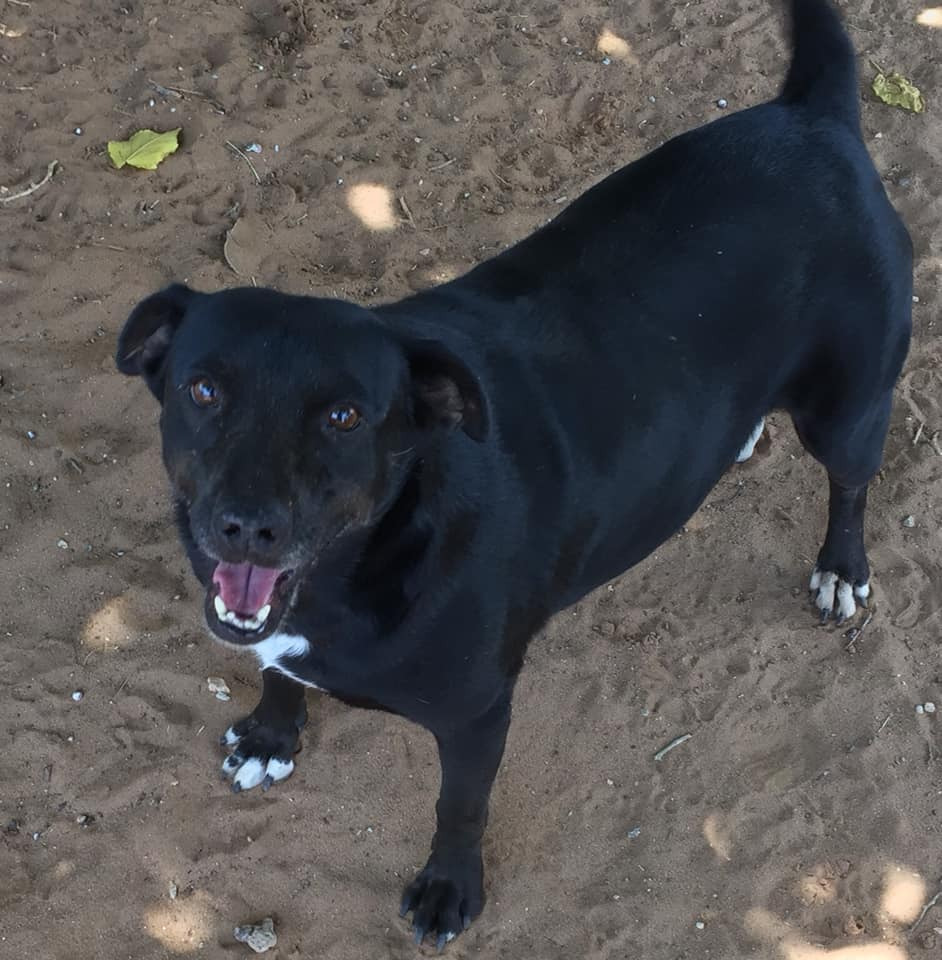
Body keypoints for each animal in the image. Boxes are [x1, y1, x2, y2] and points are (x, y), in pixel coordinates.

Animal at [112, 0, 916, 944]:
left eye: (346, 416)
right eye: (202, 389)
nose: (245, 524)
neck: (377, 550)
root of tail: (812, 114)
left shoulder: (476, 715)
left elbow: (459, 809)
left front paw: (448, 889)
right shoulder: (271, 625)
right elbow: (276, 668)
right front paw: (272, 738)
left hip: (847, 409)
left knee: (851, 481)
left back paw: (842, 568)